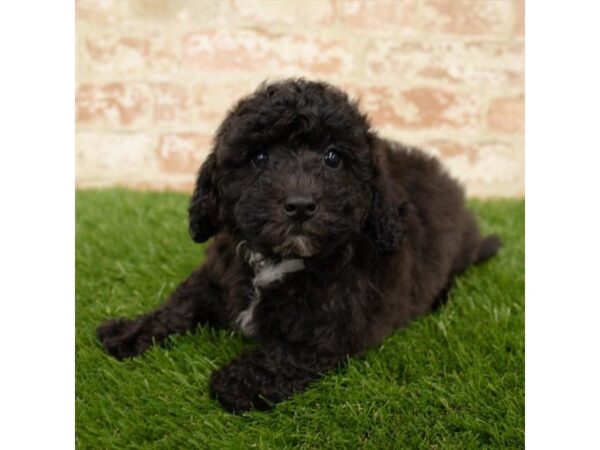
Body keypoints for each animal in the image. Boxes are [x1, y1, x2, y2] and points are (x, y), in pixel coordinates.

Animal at [97, 79, 502, 414]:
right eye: (259, 157)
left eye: (333, 158)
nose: (301, 206)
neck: (280, 260)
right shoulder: (218, 274)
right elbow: (180, 305)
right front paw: (129, 332)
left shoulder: (339, 321)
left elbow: (289, 352)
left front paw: (238, 382)